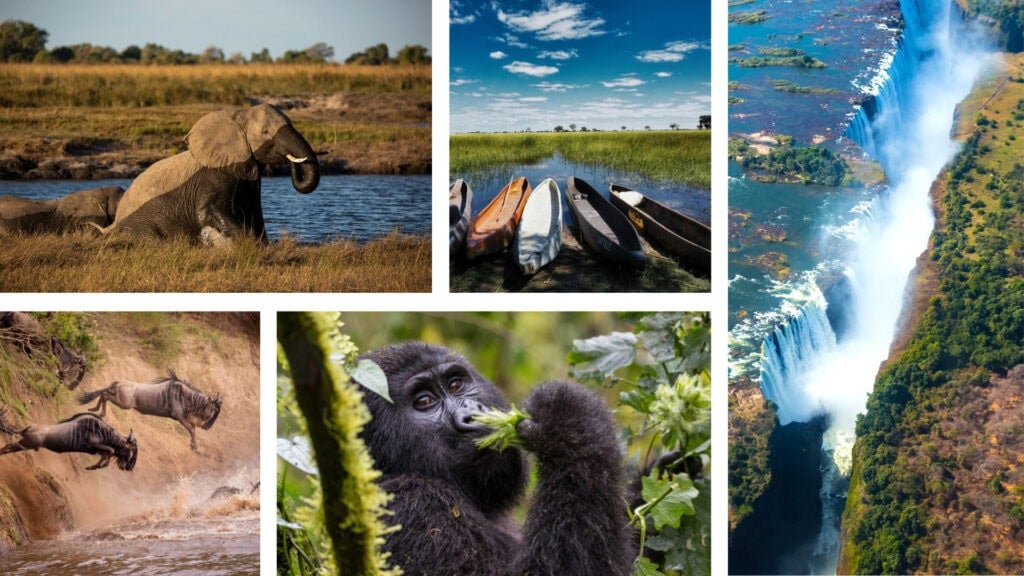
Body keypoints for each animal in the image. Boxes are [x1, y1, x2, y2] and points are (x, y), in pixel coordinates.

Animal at [96, 103, 319, 241]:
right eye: (265, 132)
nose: (289, 157)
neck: (238, 118)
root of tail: (113, 224)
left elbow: (255, 214)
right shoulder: (211, 177)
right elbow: (208, 211)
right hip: (138, 224)